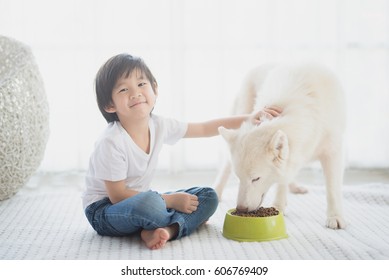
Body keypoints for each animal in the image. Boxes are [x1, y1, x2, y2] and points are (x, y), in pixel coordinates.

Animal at [215, 63, 346, 230]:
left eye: (256, 179)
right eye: (239, 178)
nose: (241, 209)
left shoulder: (332, 151)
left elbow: (332, 189)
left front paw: (335, 217)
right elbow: (281, 181)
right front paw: (278, 207)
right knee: (226, 166)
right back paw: (217, 191)